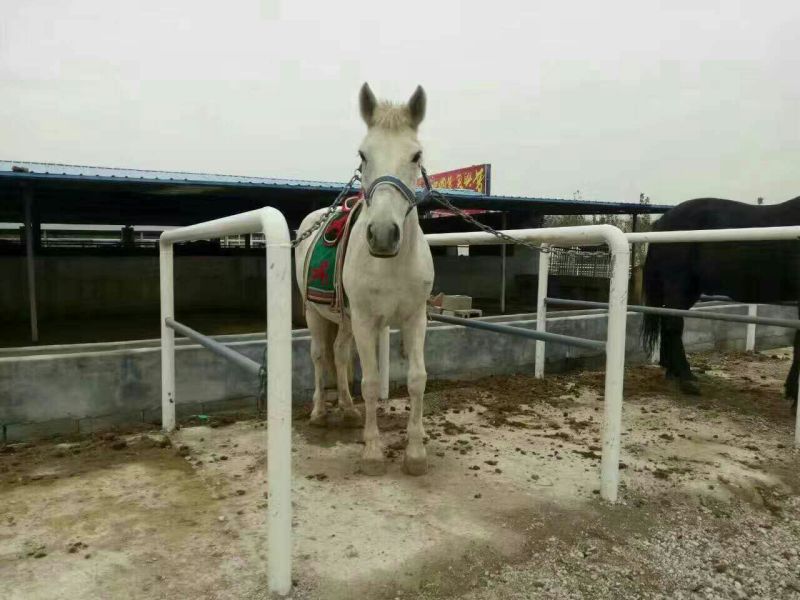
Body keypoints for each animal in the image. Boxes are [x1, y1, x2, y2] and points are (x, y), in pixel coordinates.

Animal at [294, 83, 434, 476]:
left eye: (416, 155)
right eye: (363, 154)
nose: (384, 235)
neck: (391, 263)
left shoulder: (415, 318)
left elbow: (417, 380)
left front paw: (415, 452)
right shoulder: (366, 320)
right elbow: (371, 382)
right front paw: (372, 451)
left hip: (344, 319)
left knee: (340, 354)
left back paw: (347, 408)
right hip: (316, 314)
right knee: (319, 356)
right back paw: (320, 411)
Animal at [641, 196, 800, 409]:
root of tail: (661, 223)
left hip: (689, 290)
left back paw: (672, 372)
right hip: (678, 285)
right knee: (673, 325)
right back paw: (687, 379)